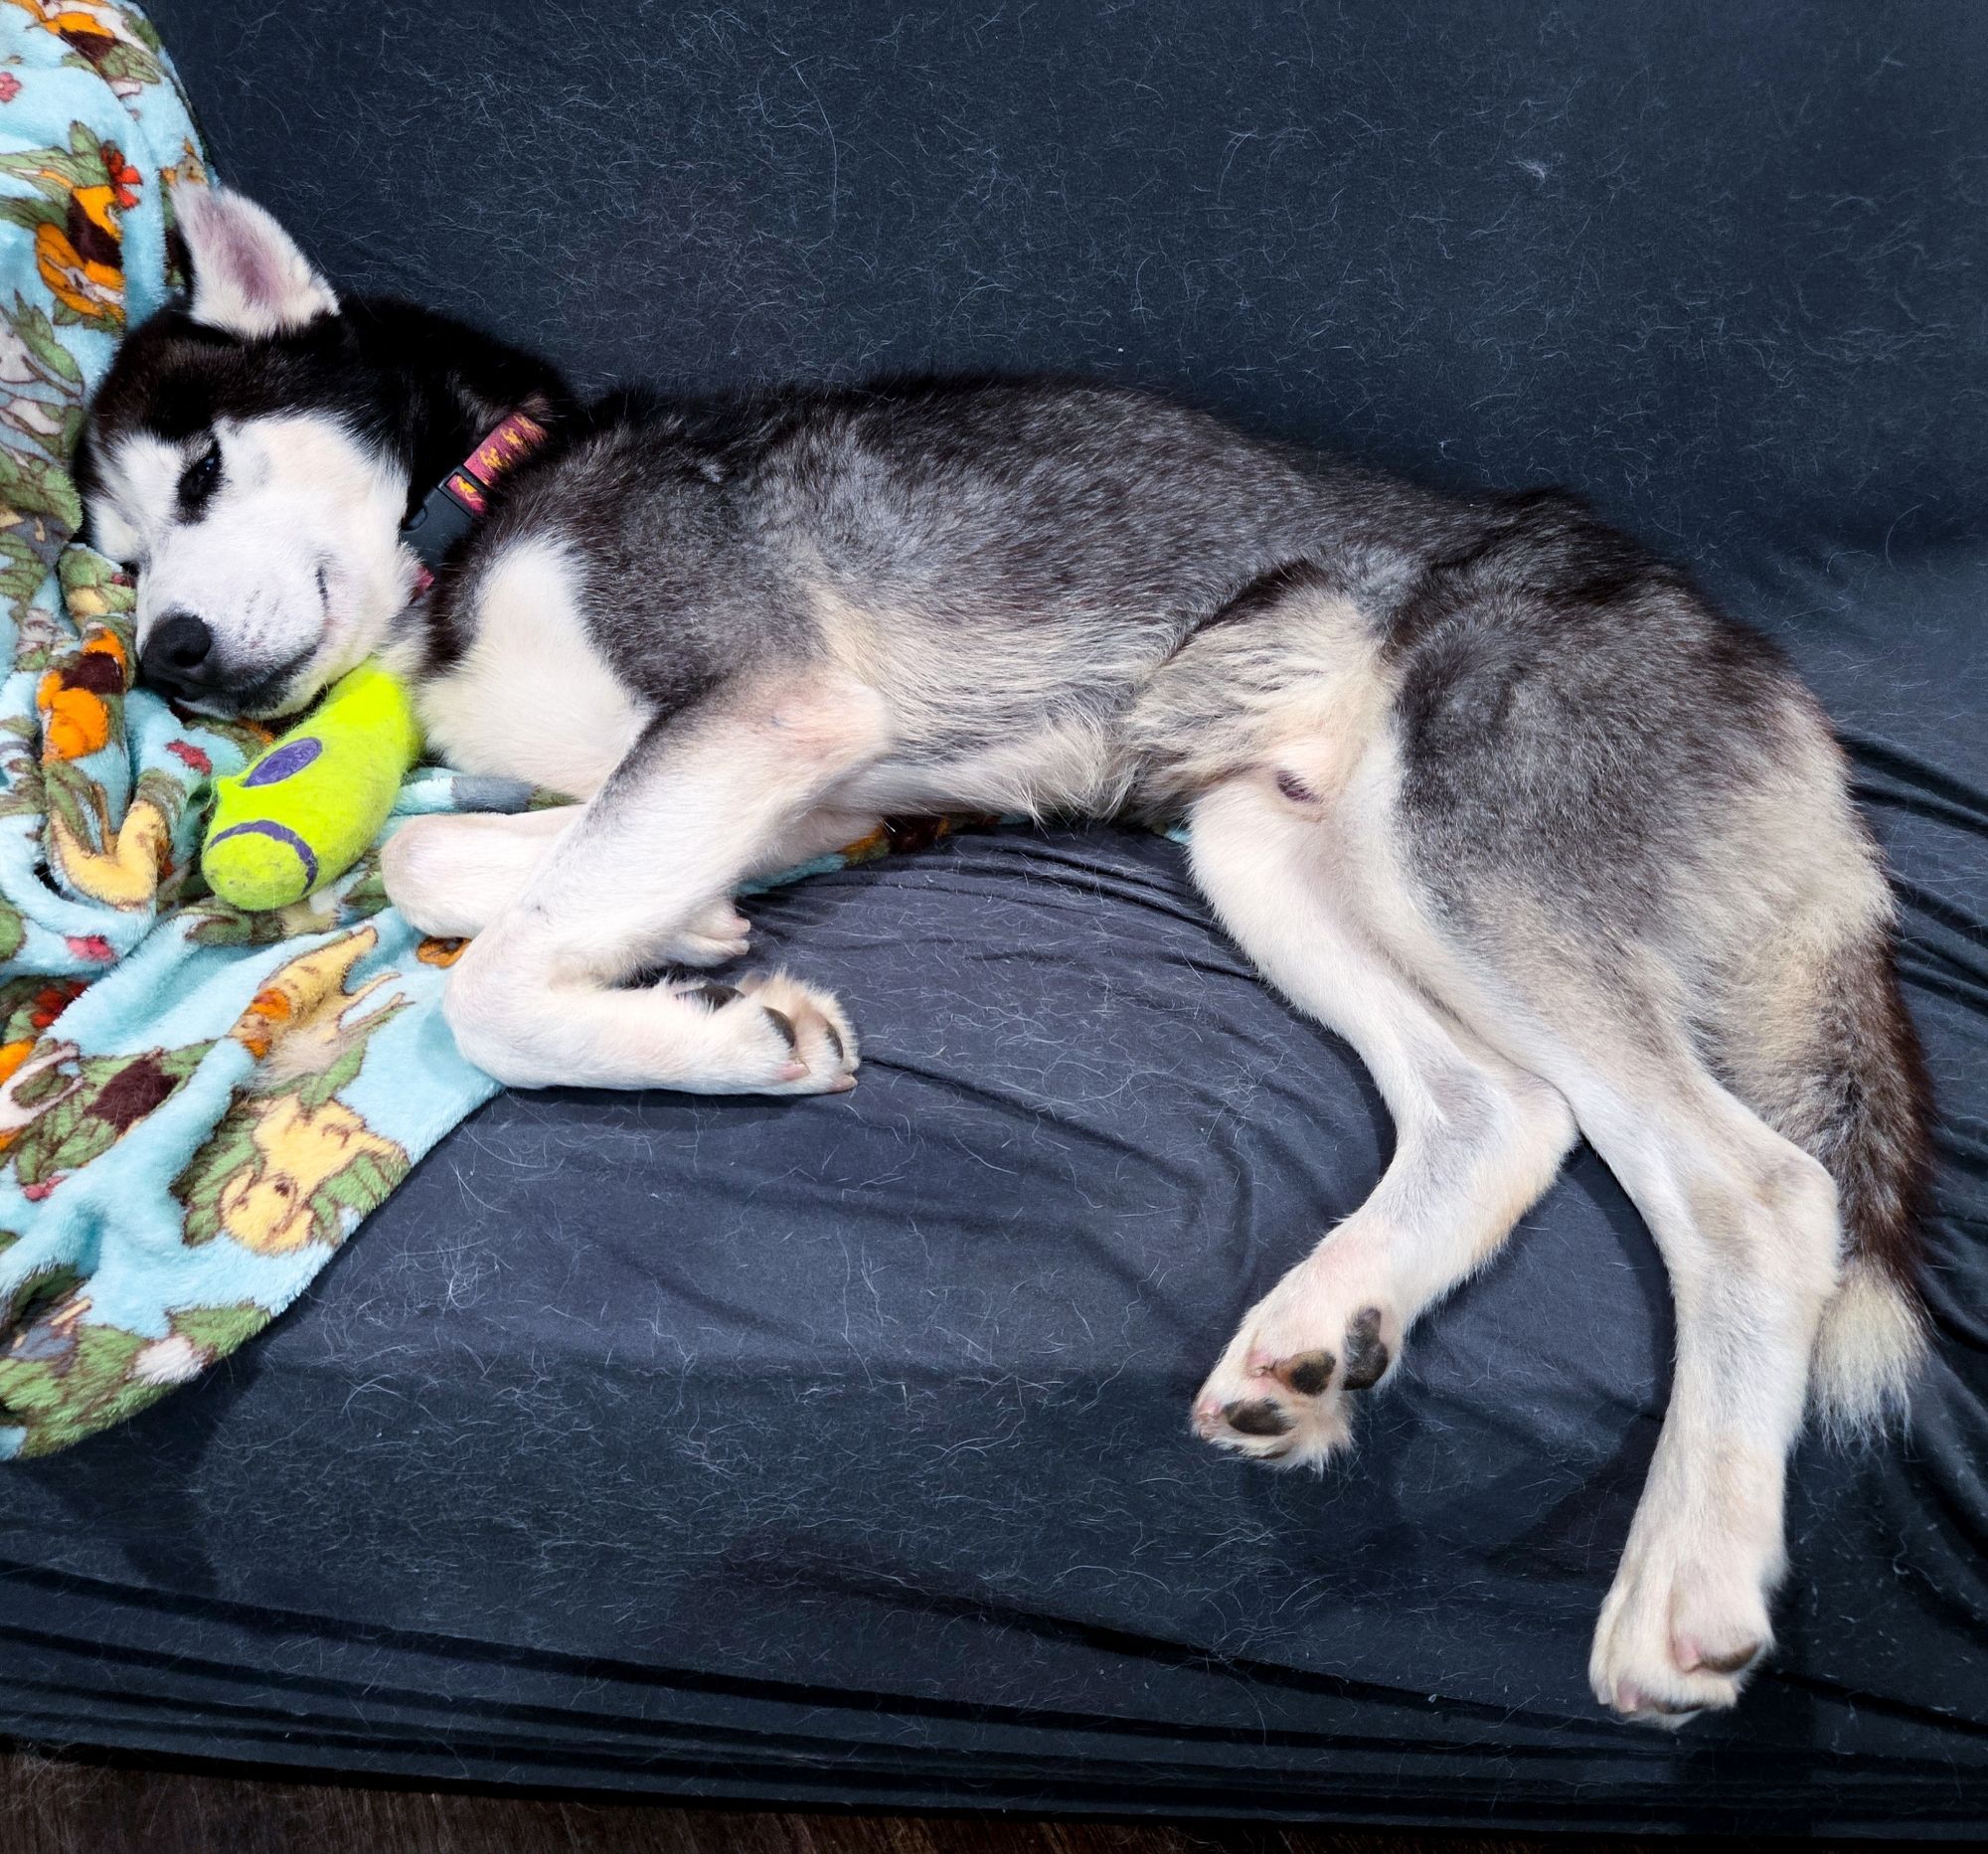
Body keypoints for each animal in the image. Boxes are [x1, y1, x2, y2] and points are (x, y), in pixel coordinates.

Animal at [78, 188, 1924, 1726]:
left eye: (202, 474)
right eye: (119, 559)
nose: (170, 652)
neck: (481, 510)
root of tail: (1764, 678)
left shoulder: (766, 709)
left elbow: (490, 983)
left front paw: (730, 1034)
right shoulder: (799, 785)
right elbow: (437, 854)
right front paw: (694, 932)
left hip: (1455, 854)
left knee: (1758, 1192)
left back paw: (1686, 1580)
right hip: (1275, 850)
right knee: (1502, 1113)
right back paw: (1320, 1332)